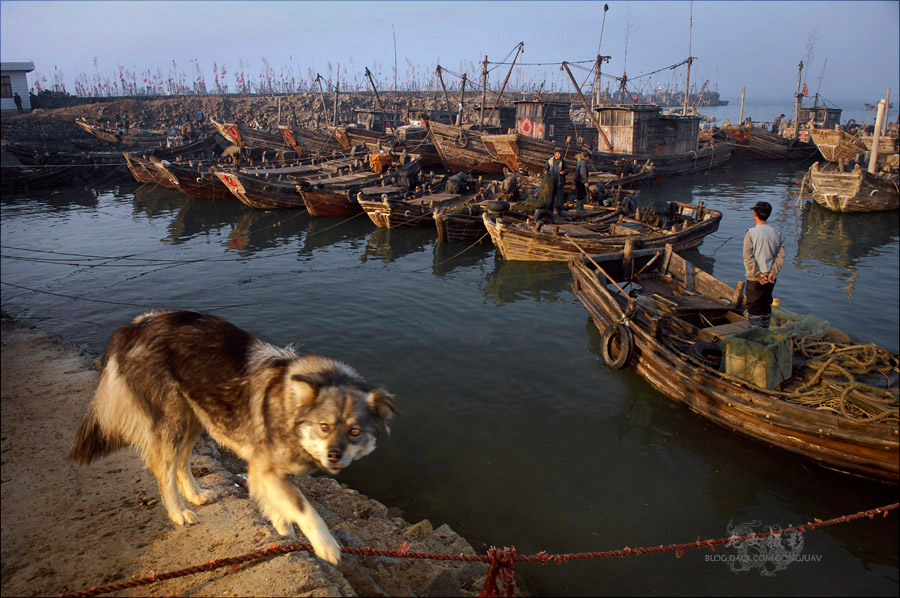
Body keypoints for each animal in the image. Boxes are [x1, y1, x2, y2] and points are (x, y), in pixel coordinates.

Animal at [67, 310, 398, 568]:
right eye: (324, 426)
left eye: (355, 432)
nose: (334, 456)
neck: (291, 406)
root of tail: (137, 324)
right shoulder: (267, 467)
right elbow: (305, 507)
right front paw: (326, 544)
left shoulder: (263, 469)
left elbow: (275, 500)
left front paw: (280, 523)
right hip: (174, 421)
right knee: (164, 472)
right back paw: (178, 512)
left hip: (196, 418)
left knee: (182, 463)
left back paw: (196, 494)